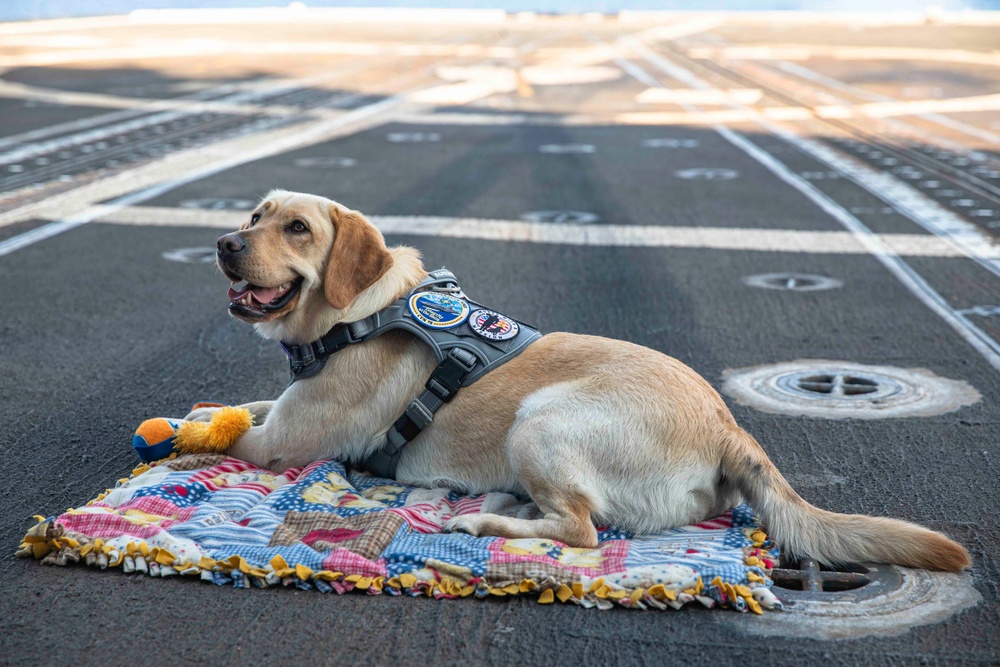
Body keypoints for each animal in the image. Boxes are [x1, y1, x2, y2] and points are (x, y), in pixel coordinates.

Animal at [188, 189, 968, 576]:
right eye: (253, 216)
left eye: (296, 228)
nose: (223, 244)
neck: (356, 313)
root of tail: (728, 425)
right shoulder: (282, 413)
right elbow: (233, 406)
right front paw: (209, 410)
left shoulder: (281, 445)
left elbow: (210, 436)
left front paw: (186, 436)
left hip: (541, 419)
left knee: (583, 531)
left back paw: (479, 521)